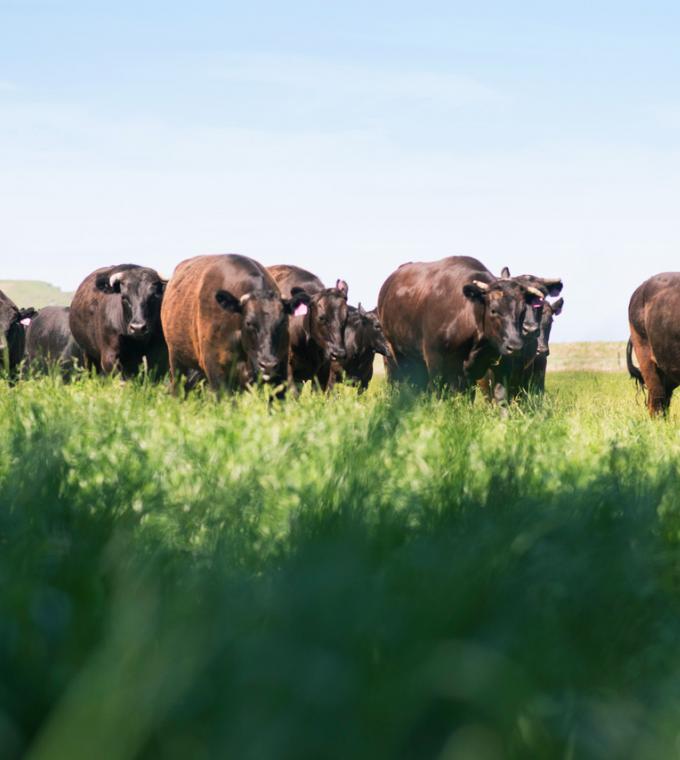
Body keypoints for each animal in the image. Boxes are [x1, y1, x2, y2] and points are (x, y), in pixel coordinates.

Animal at [159, 255, 308, 394]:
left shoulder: (281, 367)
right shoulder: (216, 370)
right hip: (177, 362)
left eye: (283, 322)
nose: (268, 365)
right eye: (249, 323)